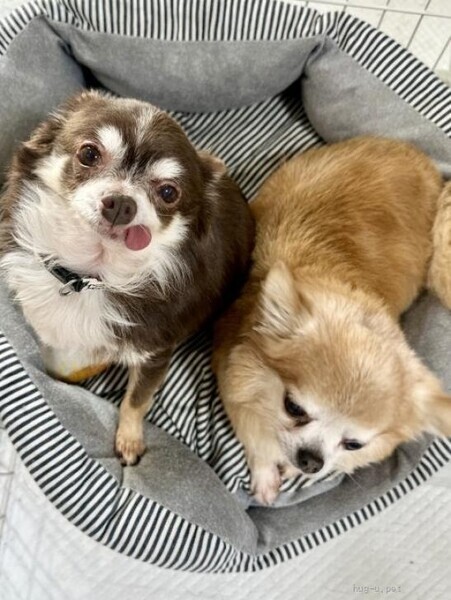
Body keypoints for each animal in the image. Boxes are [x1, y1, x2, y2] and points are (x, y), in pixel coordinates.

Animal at [0, 90, 254, 465]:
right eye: (88, 154)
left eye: (169, 192)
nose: (122, 203)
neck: (88, 276)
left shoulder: (154, 354)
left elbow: (136, 400)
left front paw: (130, 440)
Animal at [212, 136, 451, 505]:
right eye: (293, 408)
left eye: (353, 444)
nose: (312, 460)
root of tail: (420, 159)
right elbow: (258, 442)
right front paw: (265, 473)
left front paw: (288, 468)